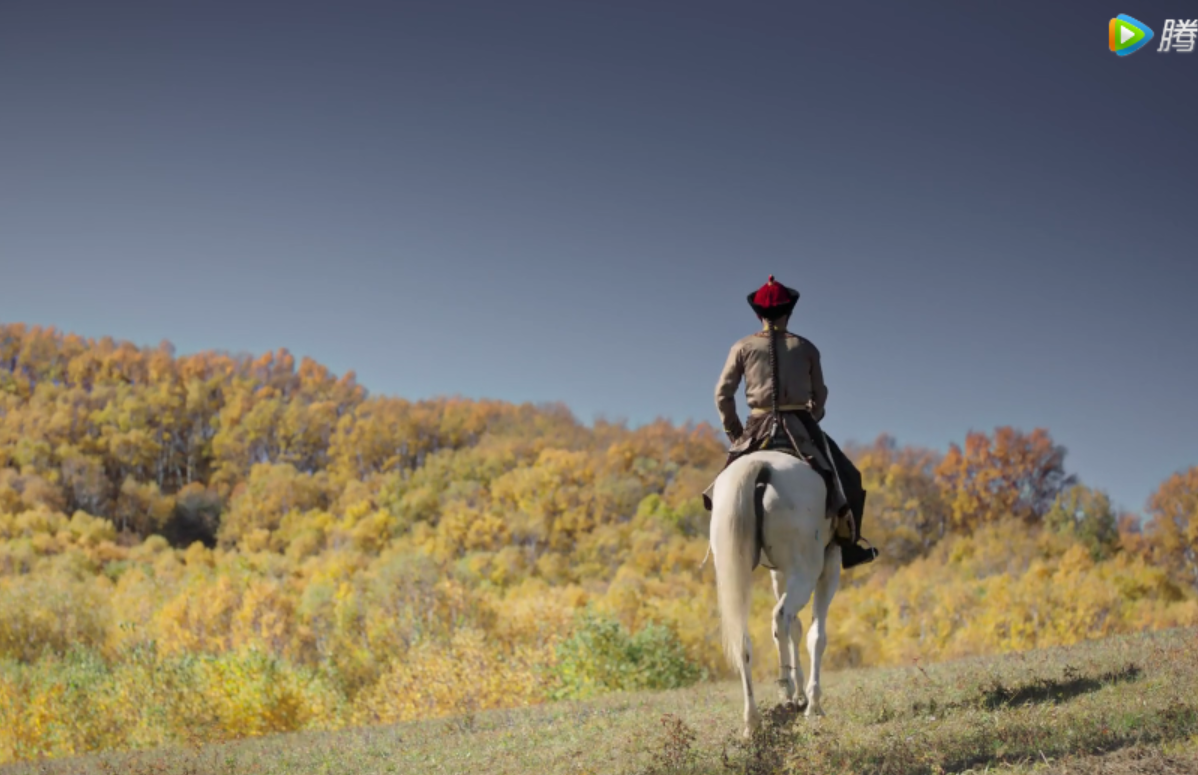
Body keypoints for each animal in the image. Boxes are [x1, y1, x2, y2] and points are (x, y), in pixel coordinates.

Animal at [709, 447, 843, 737]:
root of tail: (760, 465)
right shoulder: (830, 563)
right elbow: (816, 635)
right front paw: (812, 702)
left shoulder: (779, 573)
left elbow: (797, 628)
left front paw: (801, 691)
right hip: (807, 571)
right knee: (781, 616)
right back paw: (786, 690)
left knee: (746, 636)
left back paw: (753, 719)